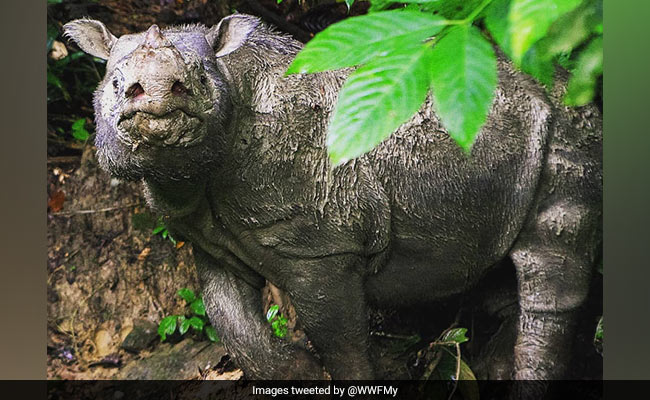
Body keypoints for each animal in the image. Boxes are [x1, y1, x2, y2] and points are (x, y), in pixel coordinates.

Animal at [63, 13, 602, 381]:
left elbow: (341, 340)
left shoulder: (319, 248)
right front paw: (297, 370)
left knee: (551, 262)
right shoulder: (207, 240)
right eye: (116, 84)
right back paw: (493, 367)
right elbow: (236, 327)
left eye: (197, 79)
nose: (157, 96)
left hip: (568, 126)